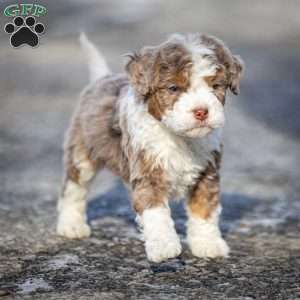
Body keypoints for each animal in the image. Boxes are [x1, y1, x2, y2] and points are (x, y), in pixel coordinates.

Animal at [56, 33, 244, 262]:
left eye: (216, 86)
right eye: (173, 88)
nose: (201, 111)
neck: (179, 138)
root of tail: (102, 78)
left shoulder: (207, 174)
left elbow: (205, 210)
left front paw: (208, 245)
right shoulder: (149, 172)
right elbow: (156, 213)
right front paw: (164, 247)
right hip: (82, 151)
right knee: (73, 187)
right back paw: (71, 225)